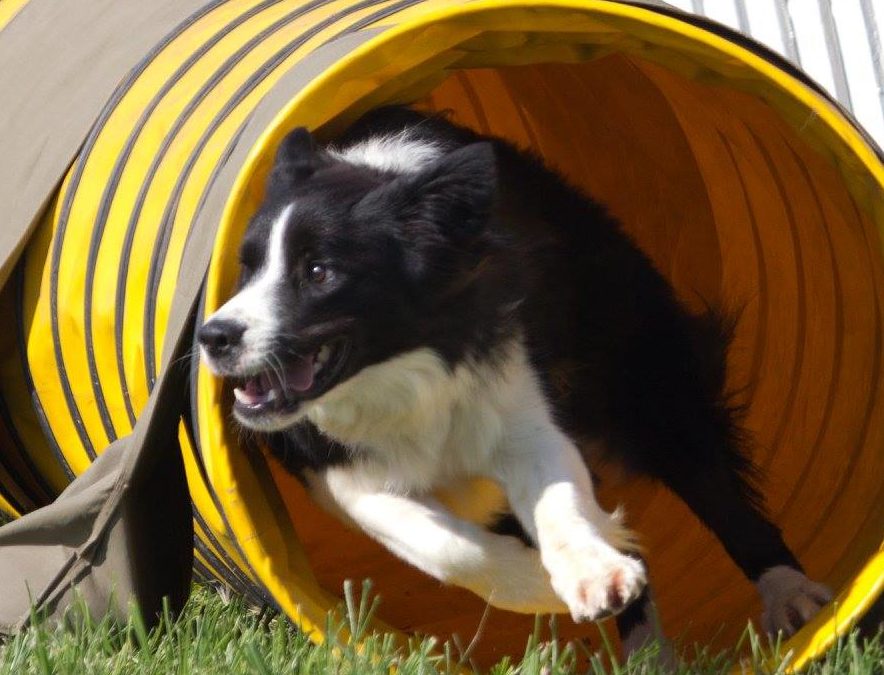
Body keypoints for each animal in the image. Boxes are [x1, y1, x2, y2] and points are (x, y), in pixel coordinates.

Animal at [197, 107, 832, 656]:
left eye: (319, 272)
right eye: (247, 268)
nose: (212, 337)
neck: (399, 370)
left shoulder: (516, 395)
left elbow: (558, 498)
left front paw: (596, 574)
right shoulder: (335, 473)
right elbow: (440, 544)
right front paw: (544, 587)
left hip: (635, 364)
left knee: (706, 472)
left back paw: (789, 595)